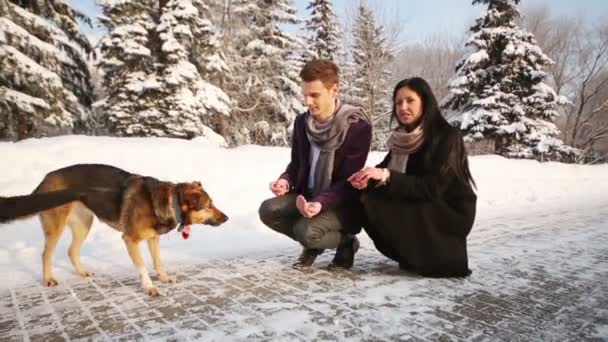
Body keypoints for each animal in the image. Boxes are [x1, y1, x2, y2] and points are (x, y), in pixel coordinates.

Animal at [0, 164, 228, 296]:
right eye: (209, 205)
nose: (226, 218)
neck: (170, 202)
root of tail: (44, 181)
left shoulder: (153, 238)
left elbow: (158, 262)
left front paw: (163, 278)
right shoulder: (130, 239)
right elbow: (142, 266)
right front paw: (149, 287)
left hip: (84, 225)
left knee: (71, 251)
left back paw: (82, 272)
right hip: (56, 226)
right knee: (46, 253)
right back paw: (48, 278)